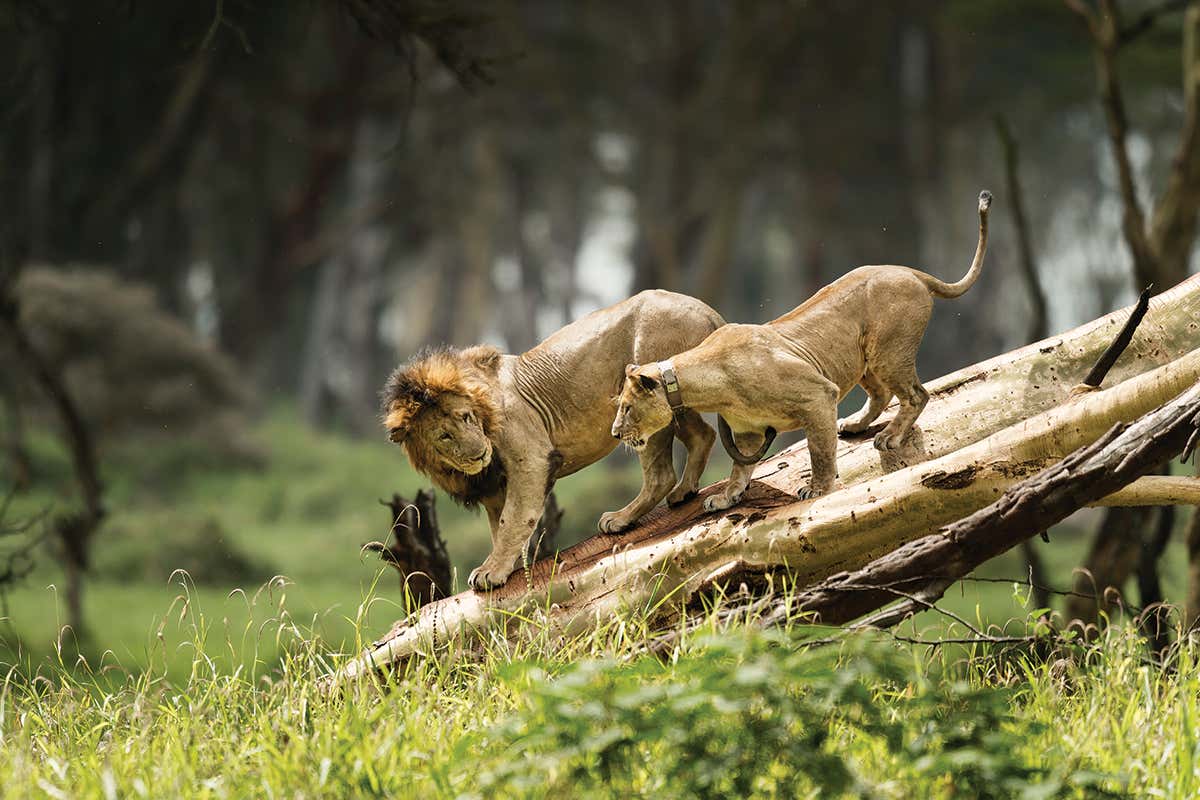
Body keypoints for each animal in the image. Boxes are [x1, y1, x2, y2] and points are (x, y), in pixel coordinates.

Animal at [381, 290, 725, 591]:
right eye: (444, 435)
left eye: (466, 417)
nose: (479, 453)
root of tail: (709, 312)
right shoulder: (493, 487)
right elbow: (499, 526)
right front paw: (508, 565)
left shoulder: (530, 458)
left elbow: (512, 520)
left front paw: (491, 571)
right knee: (703, 435)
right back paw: (684, 492)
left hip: (647, 405)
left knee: (661, 475)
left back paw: (621, 518)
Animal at [612, 190, 992, 512]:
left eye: (627, 408)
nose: (615, 433)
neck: (705, 385)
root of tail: (909, 271)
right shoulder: (748, 431)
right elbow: (740, 468)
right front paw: (728, 497)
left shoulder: (818, 395)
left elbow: (818, 450)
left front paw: (818, 488)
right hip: (863, 359)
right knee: (882, 394)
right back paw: (854, 424)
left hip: (888, 352)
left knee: (916, 395)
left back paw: (889, 436)